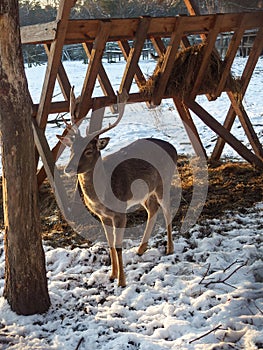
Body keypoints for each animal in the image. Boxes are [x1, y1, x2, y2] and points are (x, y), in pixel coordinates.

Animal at [57, 88, 177, 288]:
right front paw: (112, 275)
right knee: (153, 209)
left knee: (168, 209)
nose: (68, 169)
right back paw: (141, 248)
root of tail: (173, 148)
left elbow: (119, 246)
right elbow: (110, 243)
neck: (104, 192)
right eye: (72, 149)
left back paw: (169, 248)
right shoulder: (103, 215)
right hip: (145, 192)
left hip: (164, 181)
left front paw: (122, 281)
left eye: (88, 151)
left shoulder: (120, 212)